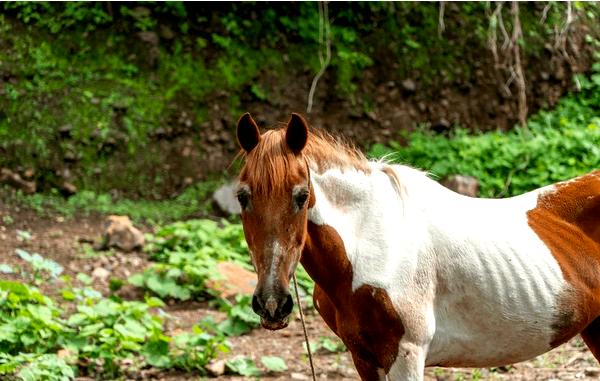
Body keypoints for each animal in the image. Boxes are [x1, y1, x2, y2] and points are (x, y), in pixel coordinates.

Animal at [234, 111, 600, 378]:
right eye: (242, 196)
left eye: (302, 195)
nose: (272, 304)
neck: (370, 245)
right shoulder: (363, 358)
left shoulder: (407, 356)